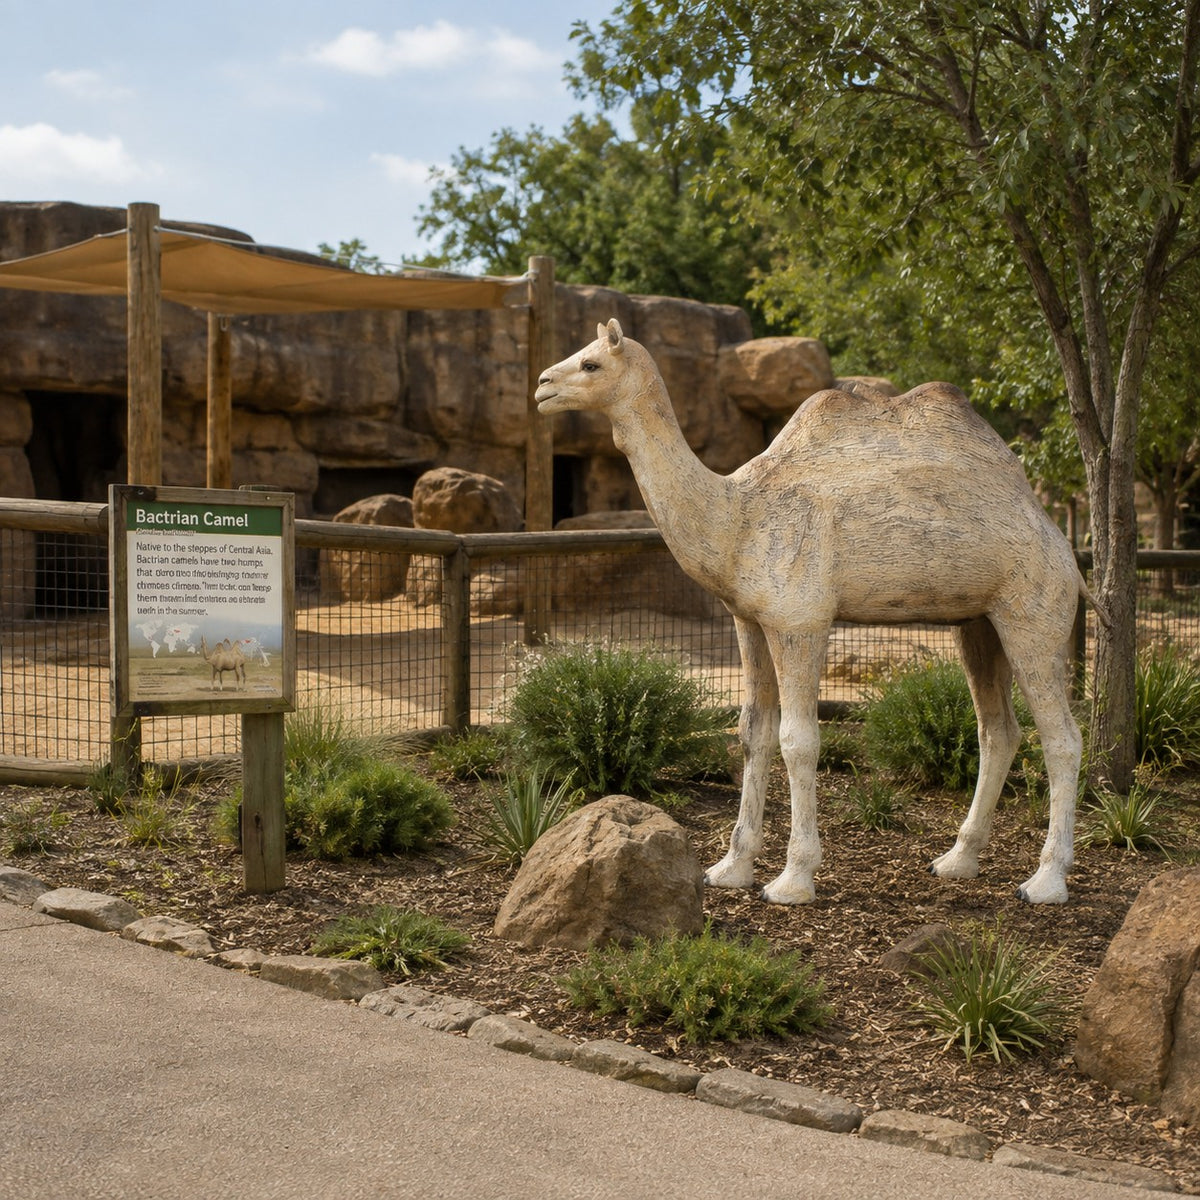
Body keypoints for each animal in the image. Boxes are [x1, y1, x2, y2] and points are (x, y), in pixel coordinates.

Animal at [536, 319, 1101, 906]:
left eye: (592, 364)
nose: (542, 384)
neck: (735, 517)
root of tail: (1066, 547)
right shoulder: (750, 620)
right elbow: (752, 733)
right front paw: (729, 869)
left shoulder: (799, 620)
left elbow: (799, 740)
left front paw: (792, 880)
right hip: (979, 624)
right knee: (998, 731)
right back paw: (955, 861)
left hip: (1034, 613)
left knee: (1062, 738)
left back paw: (1045, 881)